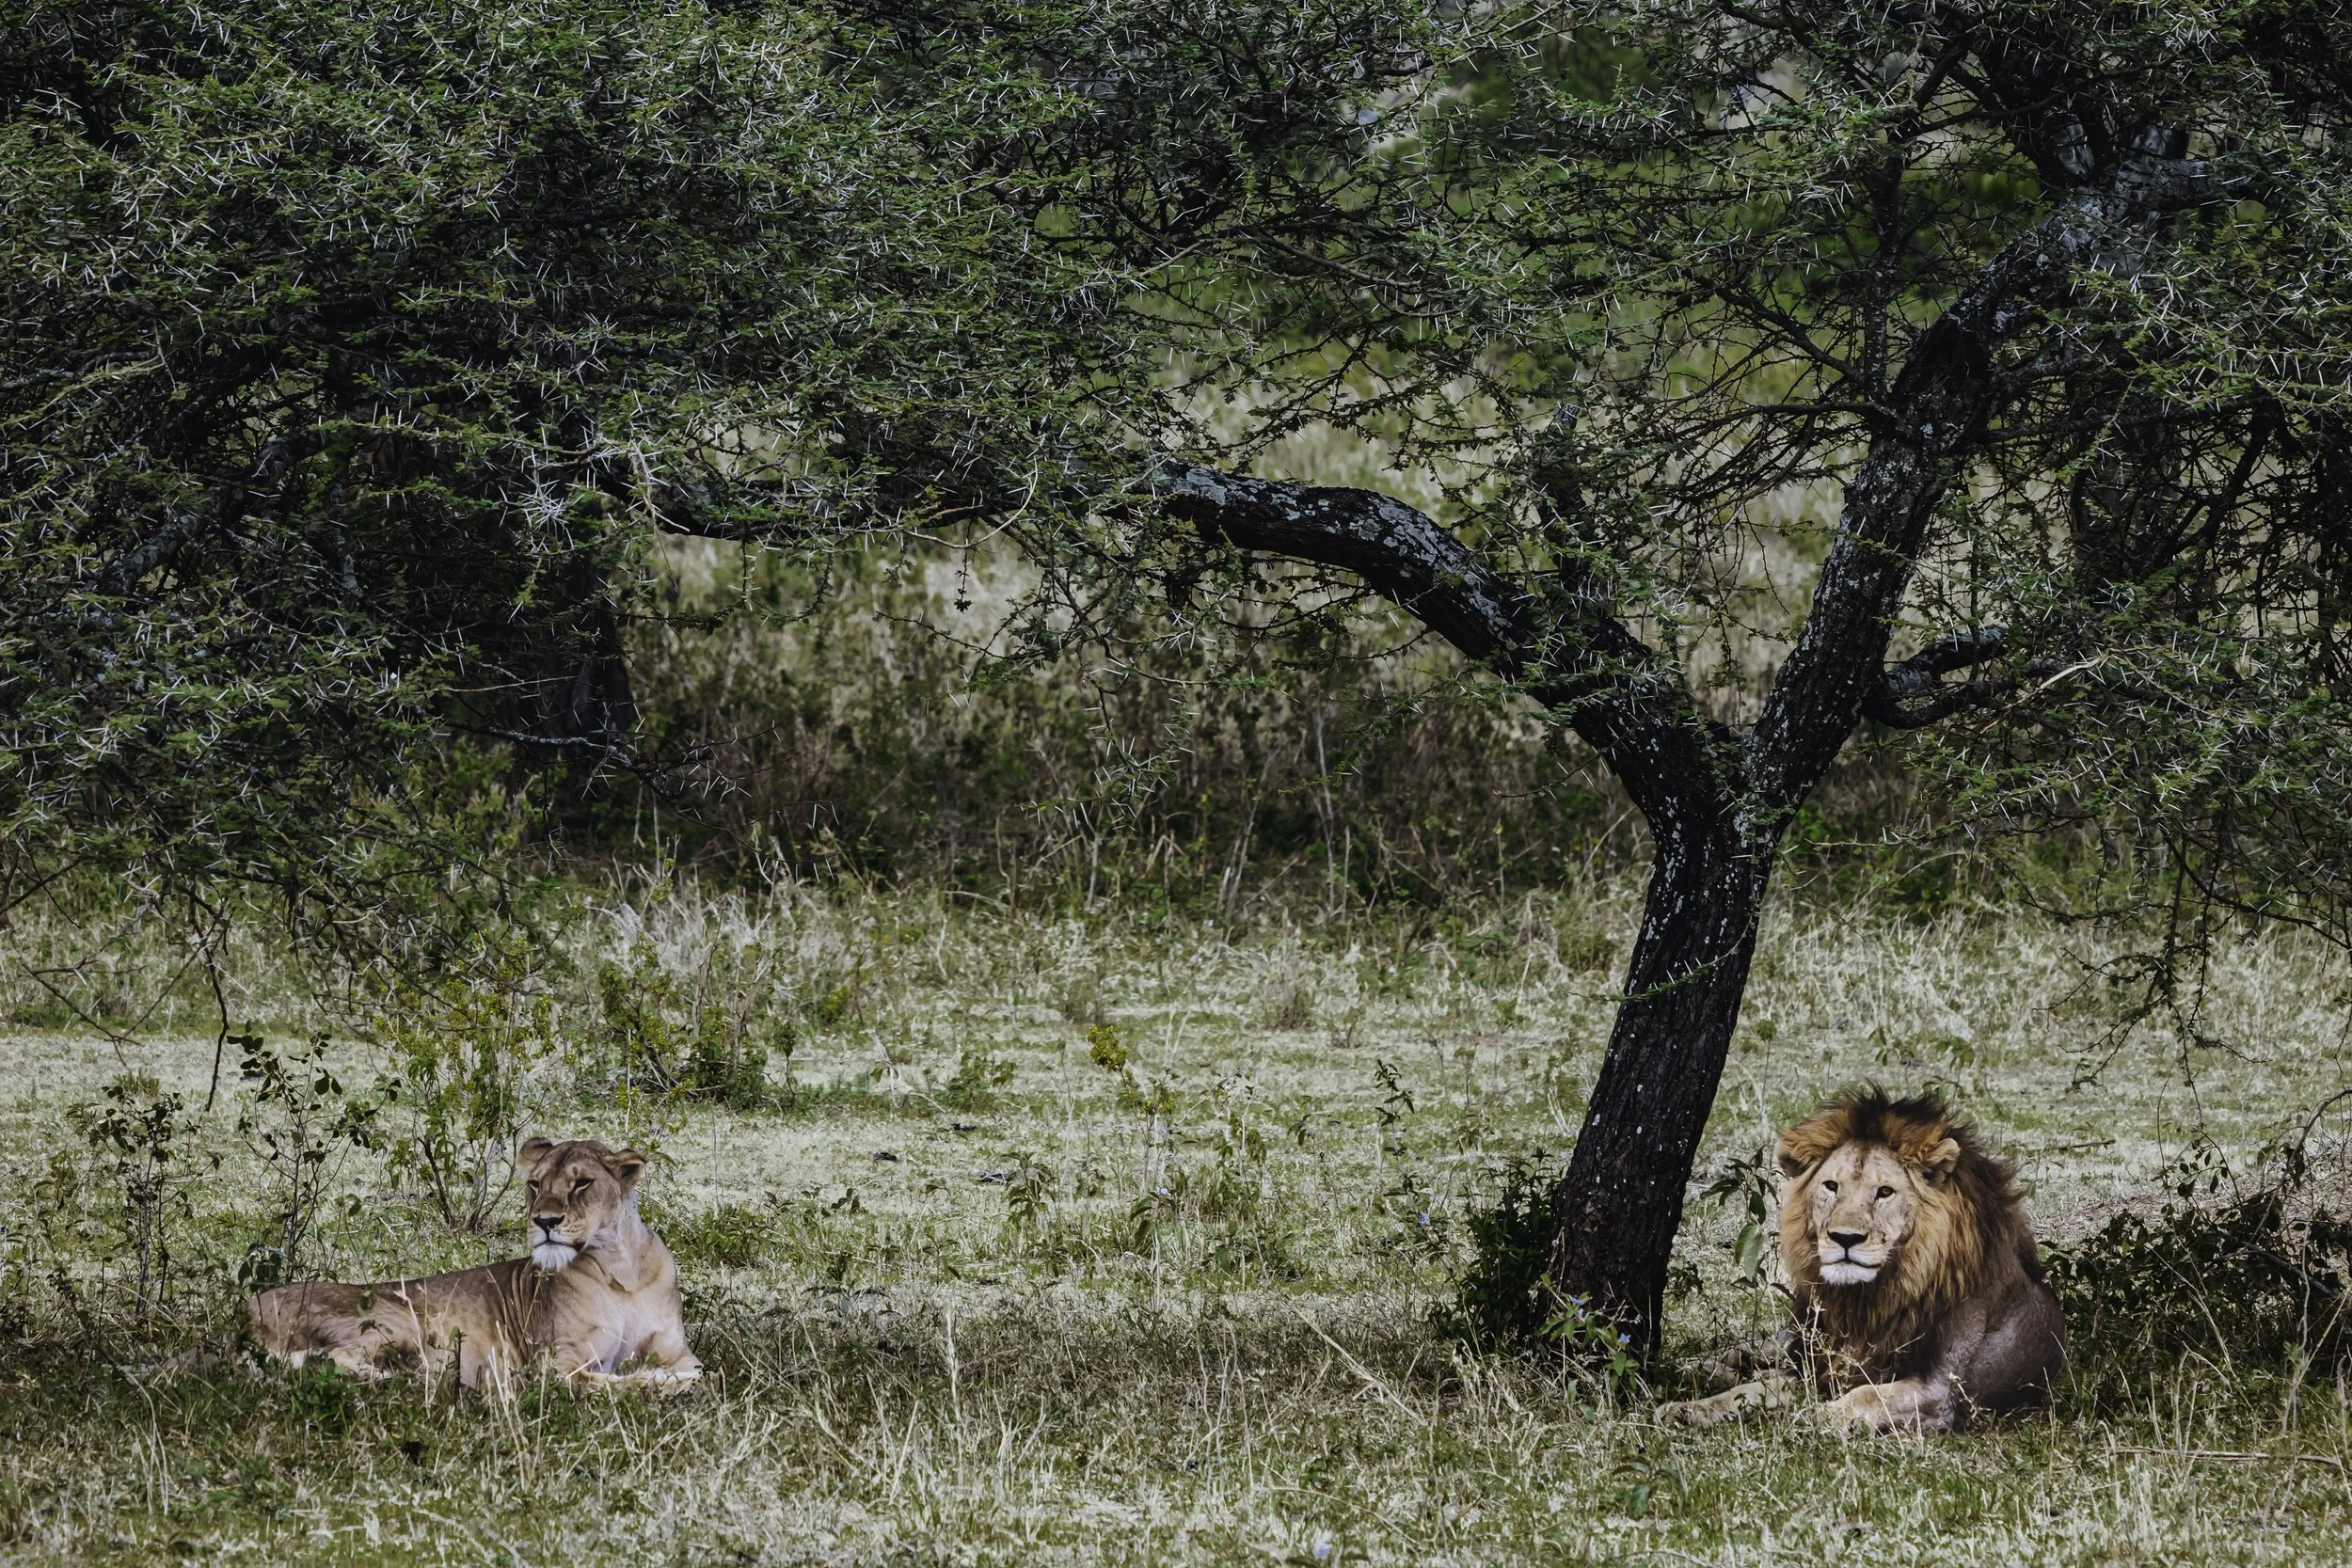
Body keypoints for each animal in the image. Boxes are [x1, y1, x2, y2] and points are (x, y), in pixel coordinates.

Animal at [248, 1137, 700, 1395]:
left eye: (582, 1183)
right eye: (535, 1184)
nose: (544, 1221)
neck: (620, 1270)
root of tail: (244, 1312)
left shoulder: (676, 1349)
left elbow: (697, 1369)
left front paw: (680, 1379)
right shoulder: (557, 1365)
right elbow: (611, 1383)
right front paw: (665, 1384)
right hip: (396, 1317)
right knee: (335, 1359)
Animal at [1663, 1088, 2064, 1433]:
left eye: (1885, 1192)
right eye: (1831, 1187)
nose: (1845, 1238)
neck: (1867, 1302)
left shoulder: (1941, 1392)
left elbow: (1866, 1395)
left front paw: (1812, 1416)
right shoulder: (1815, 1366)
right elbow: (1749, 1391)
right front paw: (1688, 1409)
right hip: (1795, 1337)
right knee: (1757, 1350)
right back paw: (1701, 1368)